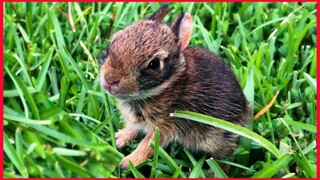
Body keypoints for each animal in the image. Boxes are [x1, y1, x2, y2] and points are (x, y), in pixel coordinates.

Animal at [100, 4, 250, 169]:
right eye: (111, 44)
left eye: (154, 64)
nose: (110, 80)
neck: (167, 84)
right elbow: (133, 129)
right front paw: (118, 138)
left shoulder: (166, 126)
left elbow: (148, 144)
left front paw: (128, 162)